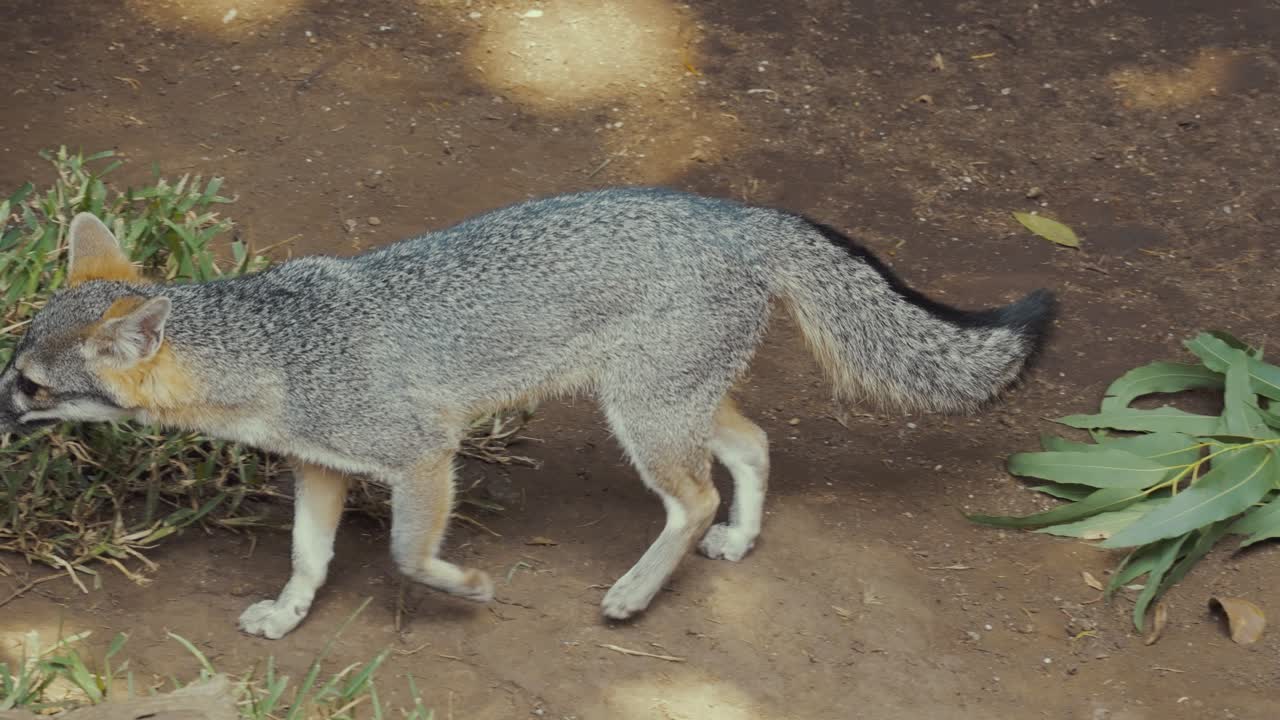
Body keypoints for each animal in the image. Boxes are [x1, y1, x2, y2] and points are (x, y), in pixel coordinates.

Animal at [0, 188, 1053, 639]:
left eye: (30, 389)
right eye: (14, 366)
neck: (273, 349)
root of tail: (736, 213)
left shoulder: (424, 453)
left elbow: (404, 554)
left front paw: (464, 587)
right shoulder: (321, 465)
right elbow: (307, 554)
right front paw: (292, 614)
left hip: (645, 416)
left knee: (697, 497)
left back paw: (637, 592)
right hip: (668, 402)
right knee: (753, 447)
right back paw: (740, 543)